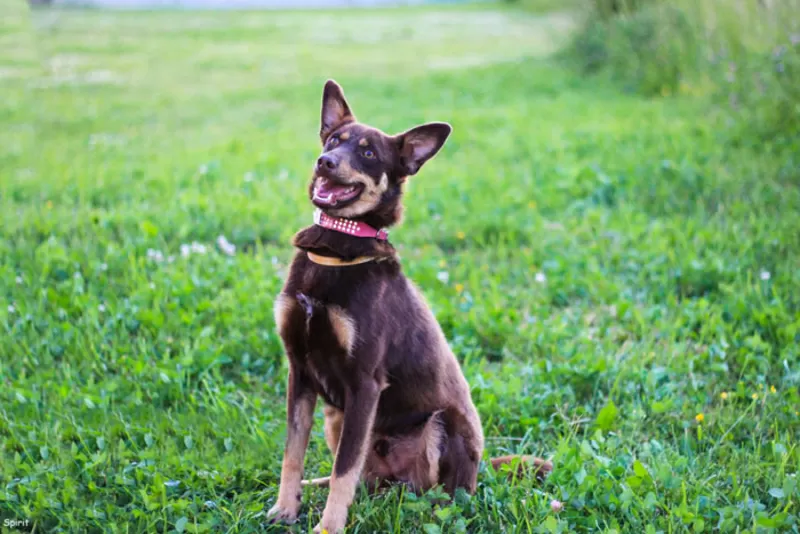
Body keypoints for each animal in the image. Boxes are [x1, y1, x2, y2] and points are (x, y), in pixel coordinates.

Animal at [268, 80, 552, 534]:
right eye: (333, 140)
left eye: (368, 154)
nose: (325, 162)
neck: (337, 247)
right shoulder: (300, 370)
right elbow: (293, 453)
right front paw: (285, 508)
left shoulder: (364, 384)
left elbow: (344, 471)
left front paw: (327, 528)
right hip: (336, 416)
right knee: (360, 479)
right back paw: (319, 484)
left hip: (440, 427)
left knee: (439, 497)